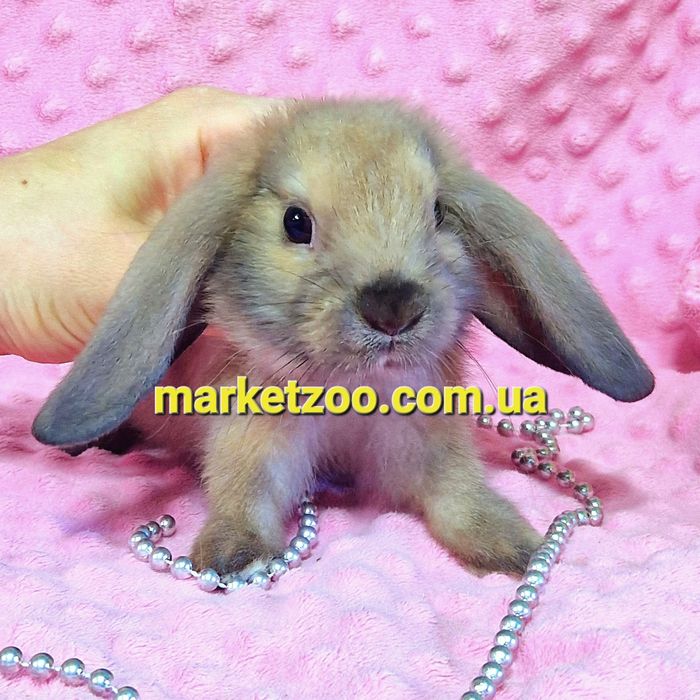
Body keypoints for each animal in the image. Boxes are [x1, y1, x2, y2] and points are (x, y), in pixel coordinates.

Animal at [31, 99, 654, 578]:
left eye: (437, 213)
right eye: (295, 222)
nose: (393, 305)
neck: (350, 390)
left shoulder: (428, 447)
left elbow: (459, 496)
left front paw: (514, 545)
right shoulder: (251, 443)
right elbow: (244, 497)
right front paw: (232, 553)